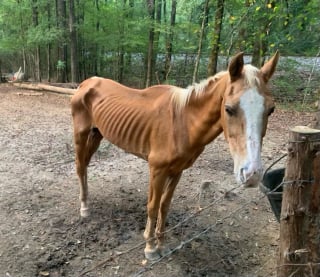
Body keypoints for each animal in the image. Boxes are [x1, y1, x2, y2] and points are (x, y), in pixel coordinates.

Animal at [71, 51, 278, 258]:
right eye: (228, 109)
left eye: (271, 110)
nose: (252, 174)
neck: (181, 122)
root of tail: (85, 83)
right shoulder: (157, 170)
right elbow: (153, 207)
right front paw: (150, 247)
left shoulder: (177, 171)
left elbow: (164, 205)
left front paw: (161, 244)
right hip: (81, 136)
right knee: (80, 168)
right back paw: (84, 208)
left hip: (97, 134)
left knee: (86, 166)